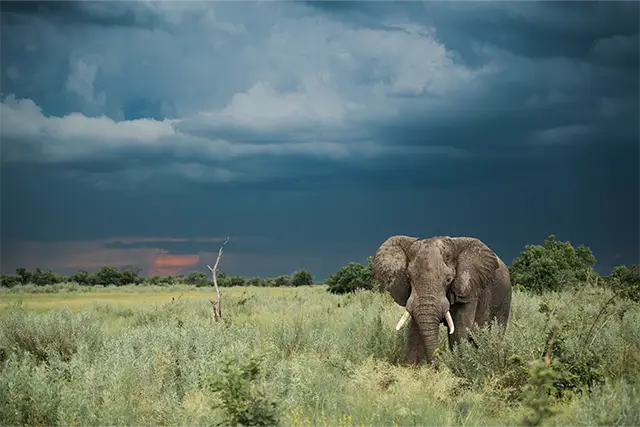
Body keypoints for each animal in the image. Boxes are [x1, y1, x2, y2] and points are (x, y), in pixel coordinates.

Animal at [371, 235, 512, 365]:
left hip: (505, 297)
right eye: (409, 277)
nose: (436, 365)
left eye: (449, 279)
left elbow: (459, 330)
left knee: (496, 330)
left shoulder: (469, 289)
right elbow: (415, 328)